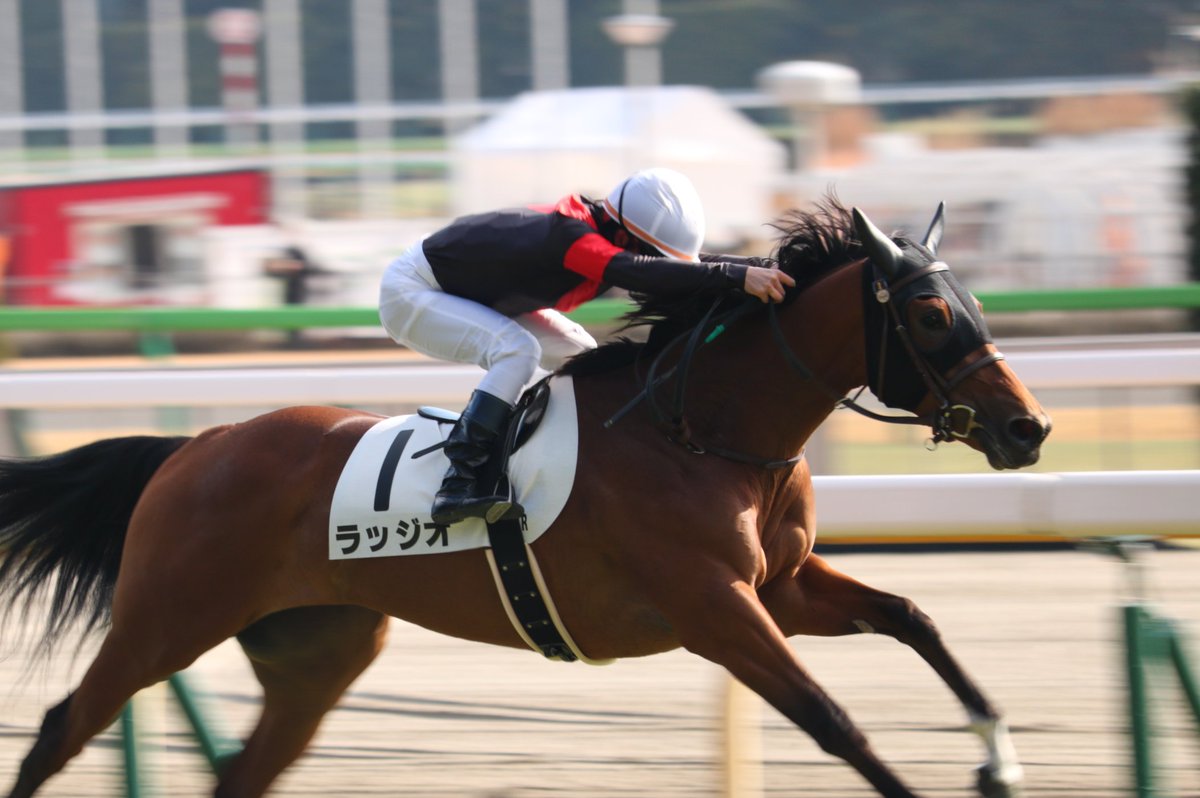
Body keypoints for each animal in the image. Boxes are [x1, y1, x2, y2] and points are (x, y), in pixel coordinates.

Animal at [1, 199, 1049, 798]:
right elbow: (834, 720)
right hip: (165, 621)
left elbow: (911, 616)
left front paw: (998, 755)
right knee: (59, 729)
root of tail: (193, 449)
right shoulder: (714, 607)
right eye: (929, 314)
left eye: (973, 305)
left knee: (242, 775)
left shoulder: (780, 587)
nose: (1027, 429)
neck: (698, 430)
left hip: (315, 651)